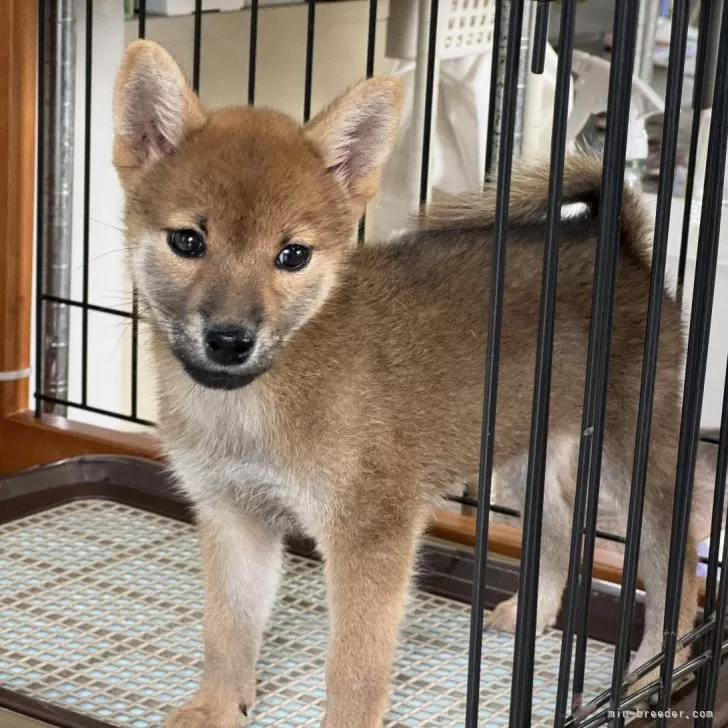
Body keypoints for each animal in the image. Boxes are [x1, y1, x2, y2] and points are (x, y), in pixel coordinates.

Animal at [114, 39, 700, 728]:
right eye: (187, 240)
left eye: (293, 255)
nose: (230, 340)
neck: (252, 404)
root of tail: (623, 250)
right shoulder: (235, 516)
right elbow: (228, 630)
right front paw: (215, 707)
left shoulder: (371, 534)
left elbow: (355, 668)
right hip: (521, 452)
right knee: (559, 533)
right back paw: (531, 617)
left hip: (635, 459)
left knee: (676, 571)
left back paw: (655, 674)